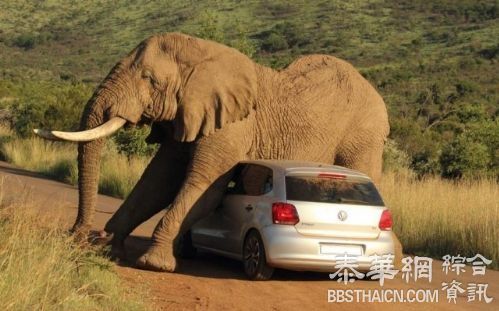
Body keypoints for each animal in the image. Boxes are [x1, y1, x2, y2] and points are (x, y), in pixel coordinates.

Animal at [36, 33, 394, 272]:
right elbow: (157, 182)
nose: (77, 236)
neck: (203, 54)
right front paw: (111, 247)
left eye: (149, 79)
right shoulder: (189, 115)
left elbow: (202, 187)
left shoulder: (232, 126)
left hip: (363, 134)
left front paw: (153, 263)